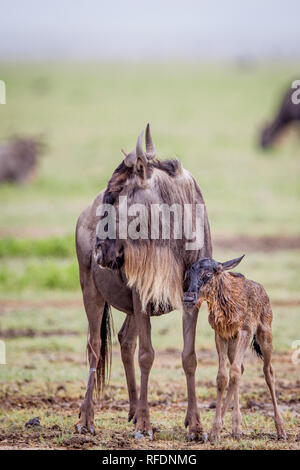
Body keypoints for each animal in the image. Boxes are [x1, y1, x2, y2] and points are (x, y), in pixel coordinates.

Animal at [183, 255, 286, 442]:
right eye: (189, 272)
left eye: (208, 273)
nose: (188, 298)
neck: (226, 301)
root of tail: (262, 290)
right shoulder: (221, 335)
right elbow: (223, 377)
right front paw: (216, 430)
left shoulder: (245, 331)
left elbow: (235, 373)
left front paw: (232, 427)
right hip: (233, 344)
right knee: (239, 369)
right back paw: (228, 425)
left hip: (265, 334)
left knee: (268, 371)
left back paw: (281, 430)